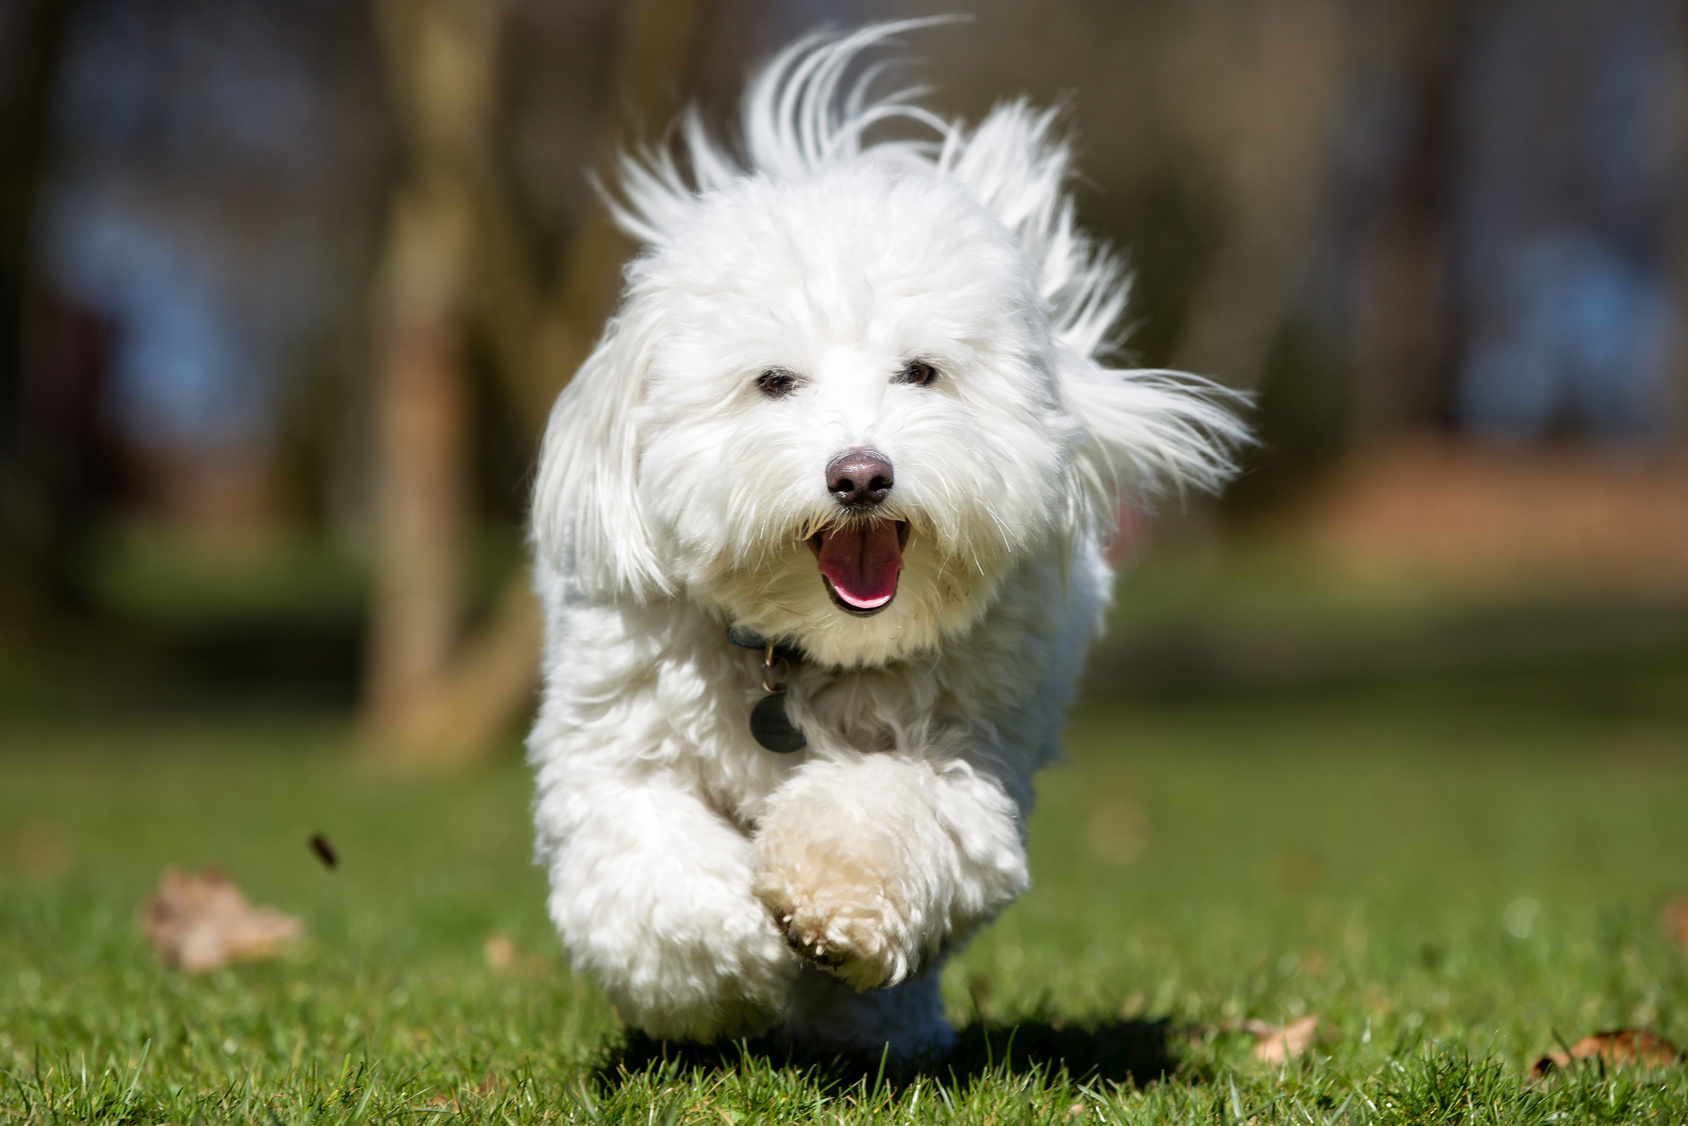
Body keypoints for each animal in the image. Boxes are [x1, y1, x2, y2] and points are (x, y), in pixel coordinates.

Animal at [523, 26, 1242, 1066]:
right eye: (773, 381)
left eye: (921, 373)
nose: (860, 475)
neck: (805, 655)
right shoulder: (614, 749)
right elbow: (653, 883)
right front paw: (729, 956)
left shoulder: (968, 766)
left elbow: (887, 812)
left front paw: (828, 898)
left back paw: (874, 1025)